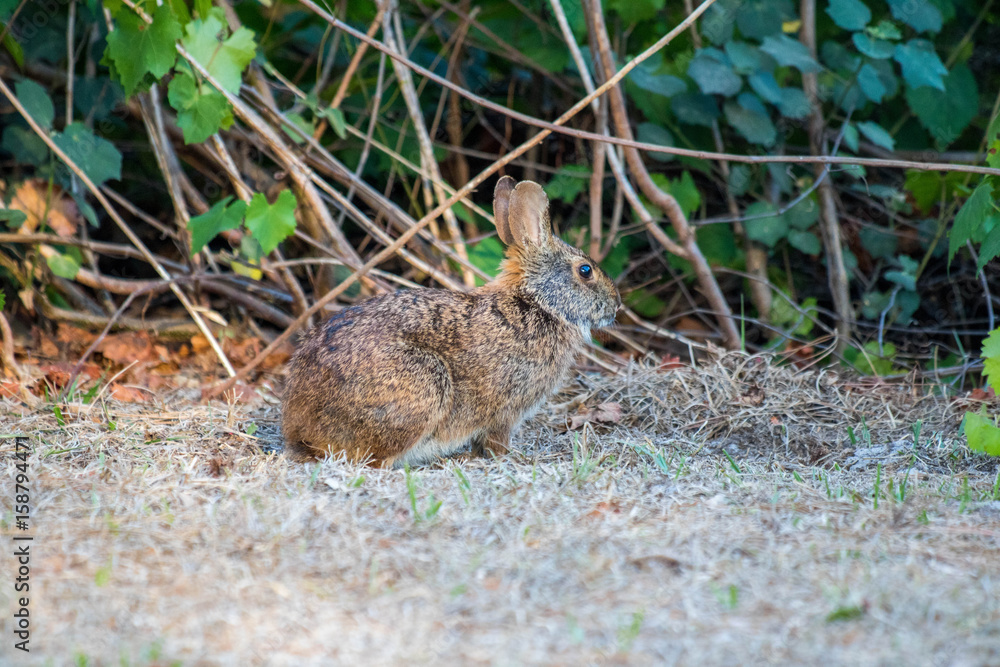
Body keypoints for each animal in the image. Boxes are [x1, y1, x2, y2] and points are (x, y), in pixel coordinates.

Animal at [281, 176, 621, 468]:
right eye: (585, 271)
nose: (617, 305)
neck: (538, 302)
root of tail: (299, 427)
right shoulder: (505, 410)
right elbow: (496, 441)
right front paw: (513, 459)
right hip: (422, 388)